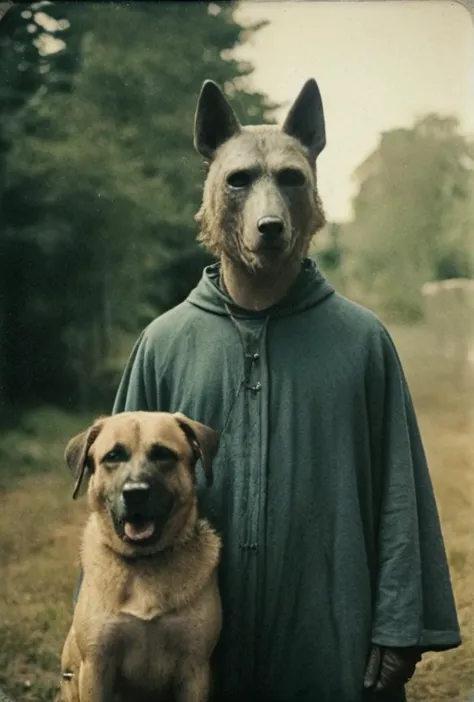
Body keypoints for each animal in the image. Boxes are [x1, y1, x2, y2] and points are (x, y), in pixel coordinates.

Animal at [59, 412, 222, 702]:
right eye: (113, 456)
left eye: (163, 454)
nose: (135, 493)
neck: (145, 562)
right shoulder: (96, 667)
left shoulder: (195, 669)